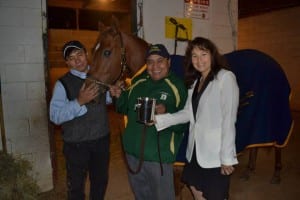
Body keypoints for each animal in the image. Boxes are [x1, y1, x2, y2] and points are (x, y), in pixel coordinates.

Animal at [88, 16, 292, 198]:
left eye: (107, 52)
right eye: (92, 50)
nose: (87, 91)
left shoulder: (175, 169)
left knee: (279, 146)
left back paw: (277, 173)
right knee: (255, 145)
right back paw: (249, 170)